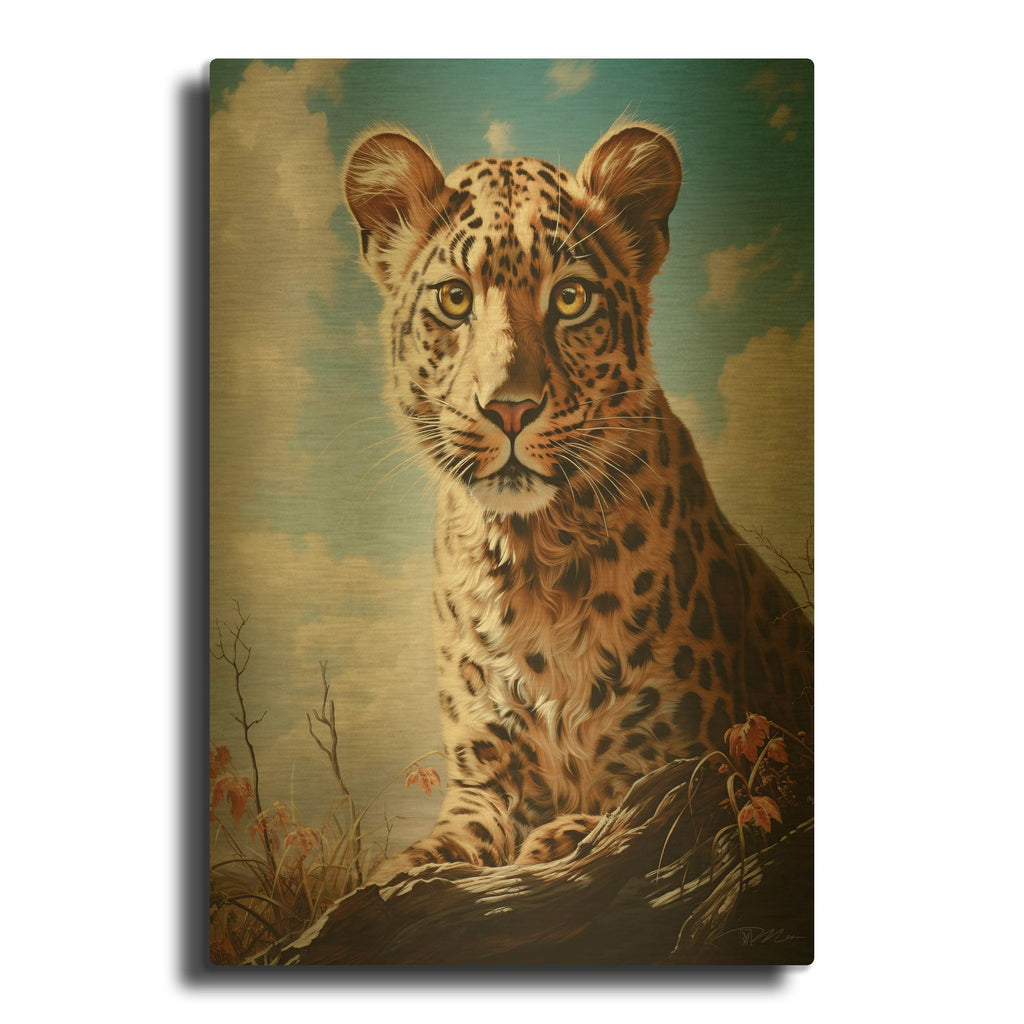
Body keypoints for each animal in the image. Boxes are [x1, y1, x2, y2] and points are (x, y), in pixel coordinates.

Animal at [342, 120, 813, 877]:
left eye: (570, 299)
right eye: (454, 299)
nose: (509, 407)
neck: (532, 563)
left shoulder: (685, 766)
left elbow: (619, 815)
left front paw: (562, 839)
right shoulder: (482, 782)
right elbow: (439, 849)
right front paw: (397, 875)